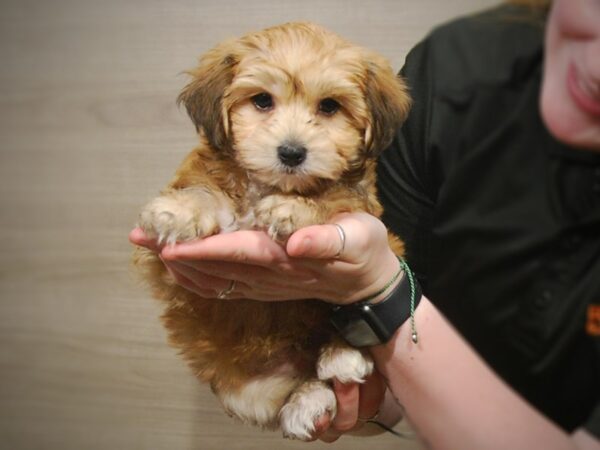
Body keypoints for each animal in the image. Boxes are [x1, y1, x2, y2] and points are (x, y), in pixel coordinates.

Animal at [134, 22, 410, 442]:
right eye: (262, 101)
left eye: (329, 106)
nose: (292, 153)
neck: (268, 185)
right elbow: (201, 190)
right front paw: (178, 211)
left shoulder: (363, 209)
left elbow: (332, 199)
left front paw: (292, 209)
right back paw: (307, 399)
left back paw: (337, 363)